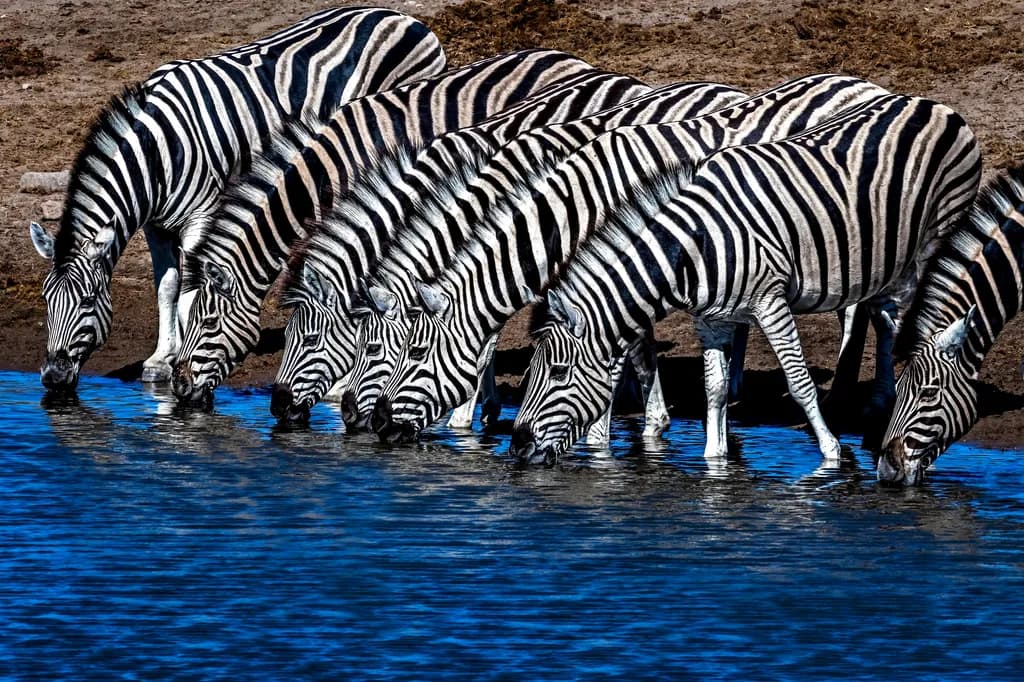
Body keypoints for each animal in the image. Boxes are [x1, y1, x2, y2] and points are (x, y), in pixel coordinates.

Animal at [27, 7, 444, 391]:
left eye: (87, 300)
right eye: (45, 300)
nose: (53, 377)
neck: (158, 151)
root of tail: (402, 16)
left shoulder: (201, 215)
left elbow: (190, 289)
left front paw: (186, 354)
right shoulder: (155, 225)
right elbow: (166, 287)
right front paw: (162, 359)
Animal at [370, 74, 895, 443]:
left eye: (412, 352)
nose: (372, 421)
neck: (566, 212)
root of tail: (867, 86)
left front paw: (604, 433)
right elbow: (630, 345)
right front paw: (643, 421)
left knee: (870, 307)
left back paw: (859, 395)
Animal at [509, 94, 981, 465]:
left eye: (558, 372)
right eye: (529, 371)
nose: (516, 447)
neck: (694, 246)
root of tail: (931, 103)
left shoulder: (771, 302)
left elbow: (799, 382)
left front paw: (831, 453)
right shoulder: (711, 319)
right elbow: (714, 389)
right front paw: (714, 458)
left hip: (938, 233)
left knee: (910, 311)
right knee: (884, 316)